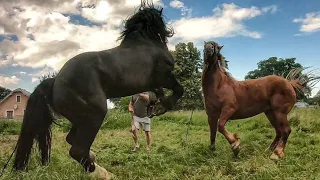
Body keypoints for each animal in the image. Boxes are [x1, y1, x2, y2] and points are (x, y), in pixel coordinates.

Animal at [13, 1, 182, 179]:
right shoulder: (164, 76)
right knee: (77, 149)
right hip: (95, 114)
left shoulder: (153, 84)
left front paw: (157, 106)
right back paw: (103, 173)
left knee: (72, 140)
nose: (168, 34)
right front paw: (162, 107)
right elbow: (179, 89)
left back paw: (94, 159)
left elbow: (159, 93)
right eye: (161, 22)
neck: (145, 44)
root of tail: (55, 83)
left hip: (80, 119)